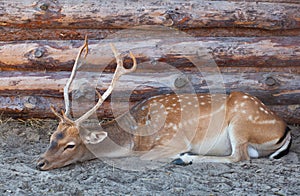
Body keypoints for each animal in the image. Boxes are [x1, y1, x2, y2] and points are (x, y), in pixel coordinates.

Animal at [36, 37, 292, 170]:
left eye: (70, 145)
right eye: (52, 138)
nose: (40, 162)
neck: (137, 135)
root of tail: (285, 129)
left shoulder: (173, 139)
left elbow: (146, 157)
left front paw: (180, 155)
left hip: (241, 122)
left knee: (239, 157)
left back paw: (185, 158)